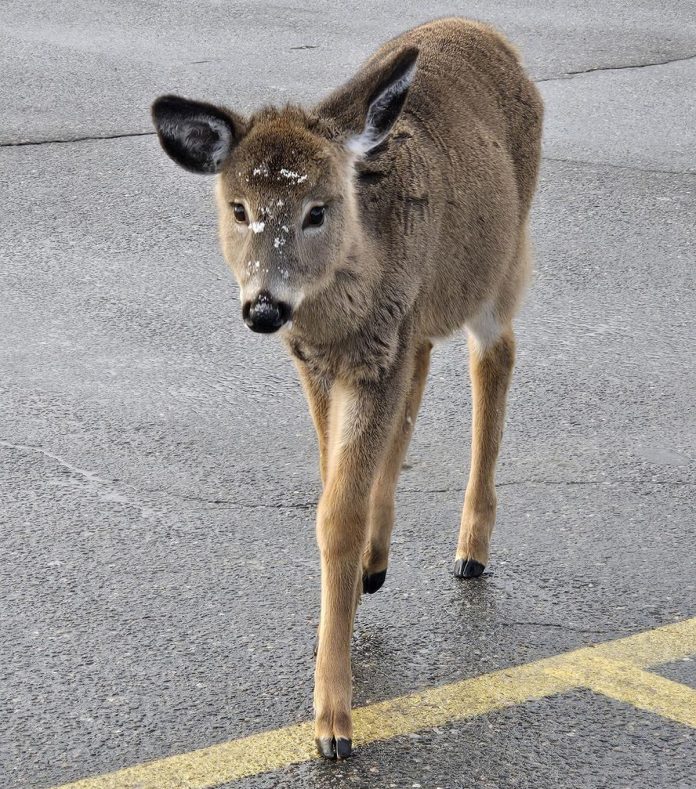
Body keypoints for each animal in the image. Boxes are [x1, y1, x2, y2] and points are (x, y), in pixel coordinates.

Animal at [152, 16, 544, 756]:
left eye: (317, 209)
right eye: (238, 206)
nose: (263, 307)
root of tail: (482, 30)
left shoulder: (372, 355)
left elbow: (338, 513)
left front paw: (333, 719)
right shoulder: (322, 360)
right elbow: (337, 480)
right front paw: (353, 593)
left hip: (504, 262)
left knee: (494, 360)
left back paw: (470, 550)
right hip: (420, 318)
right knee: (424, 375)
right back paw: (379, 562)